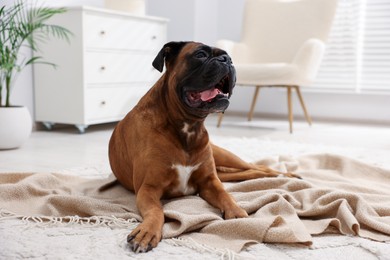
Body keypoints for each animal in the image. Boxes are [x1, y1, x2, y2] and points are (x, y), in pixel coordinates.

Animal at [108, 41, 298, 253]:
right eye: (200, 55)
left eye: (228, 56)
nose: (227, 60)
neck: (188, 126)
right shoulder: (148, 189)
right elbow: (156, 210)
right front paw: (147, 231)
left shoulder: (210, 182)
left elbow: (225, 195)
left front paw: (237, 214)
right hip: (224, 169)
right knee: (250, 172)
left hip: (225, 157)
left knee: (258, 167)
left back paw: (287, 175)